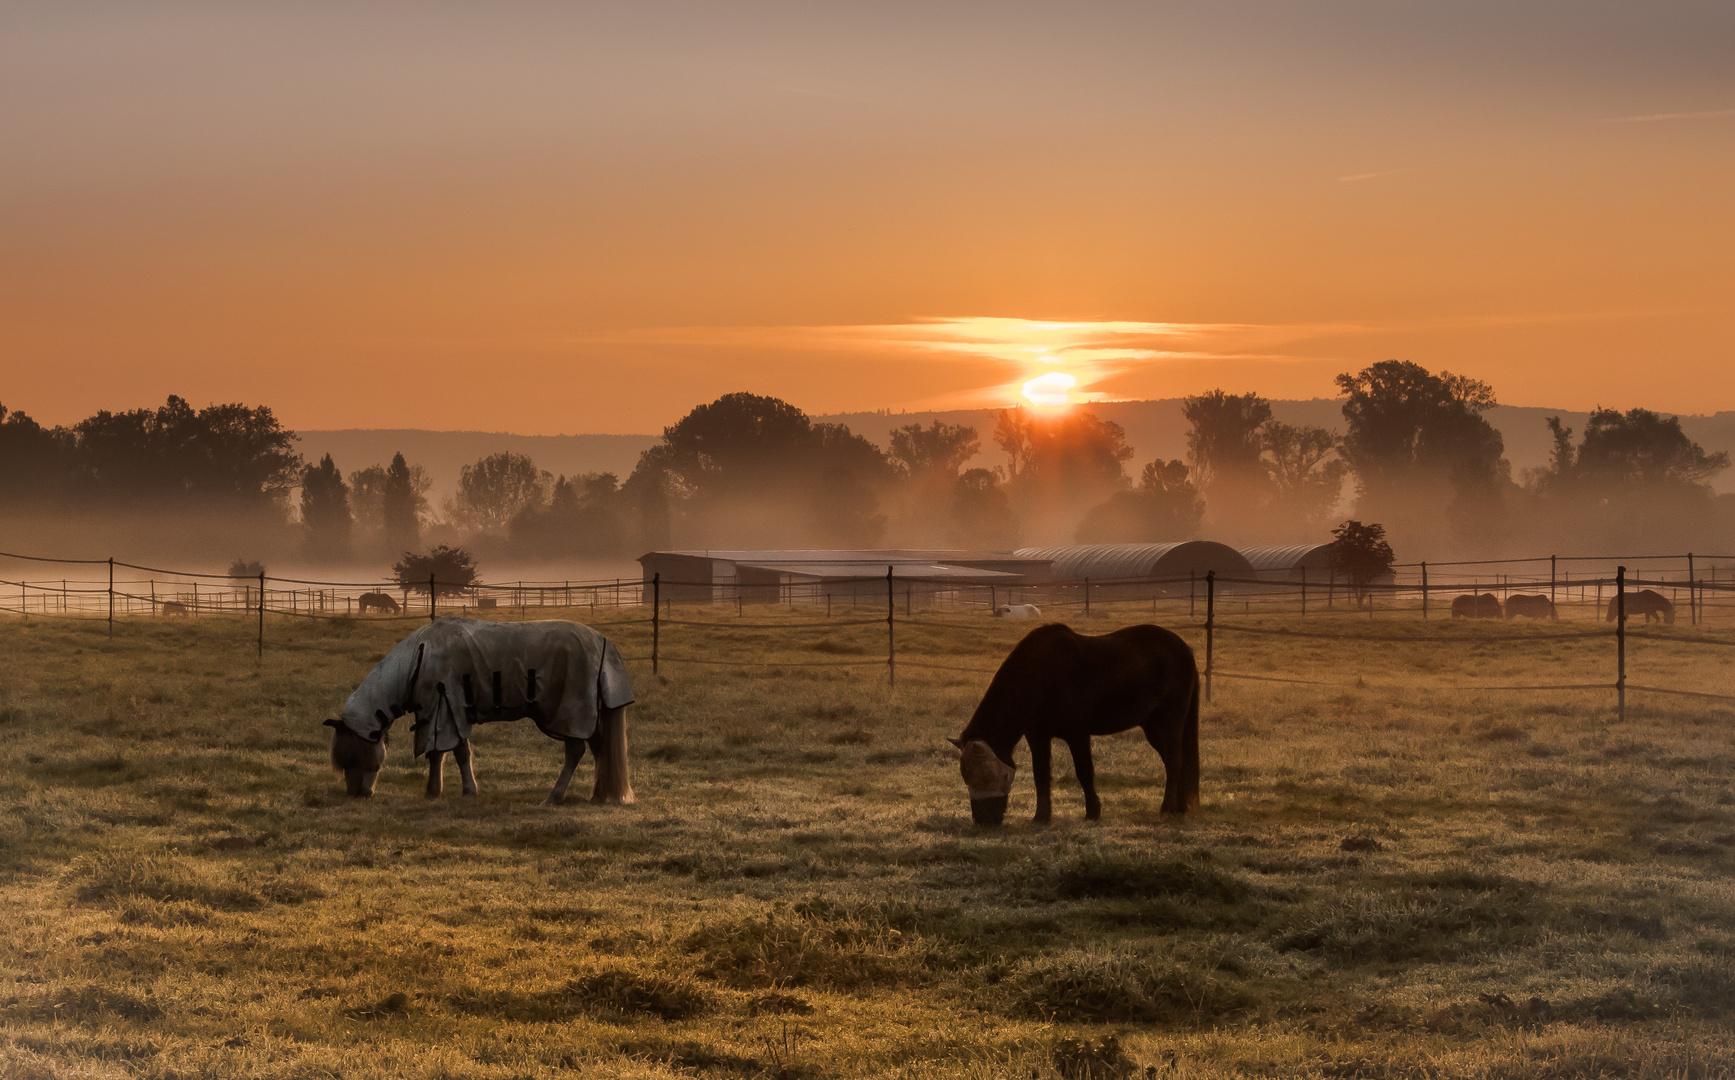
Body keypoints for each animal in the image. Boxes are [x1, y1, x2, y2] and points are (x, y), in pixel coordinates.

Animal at [322, 621, 635, 809]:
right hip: (587, 716)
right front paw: (435, 790)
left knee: (575, 751)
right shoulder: (439, 714)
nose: (356, 793)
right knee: (599, 749)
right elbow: (439, 754)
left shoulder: (448, 711)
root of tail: (602, 642)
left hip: (570, 713)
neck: (419, 659)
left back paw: (554, 797)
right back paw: (598, 795)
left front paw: (463, 790)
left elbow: (457, 753)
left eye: (353, 756)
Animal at [943, 621, 1200, 826]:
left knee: (1174, 760)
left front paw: (1093, 813)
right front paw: (1041, 817)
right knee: (1174, 761)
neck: (1041, 674)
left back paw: (1167, 808)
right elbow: (1040, 774)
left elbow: (1084, 771)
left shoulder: (1078, 734)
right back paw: (1180, 807)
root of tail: (1185, 649)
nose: (983, 821)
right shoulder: (1037, 736)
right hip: (1152, 727)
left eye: (992, 777)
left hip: (1170, 721)